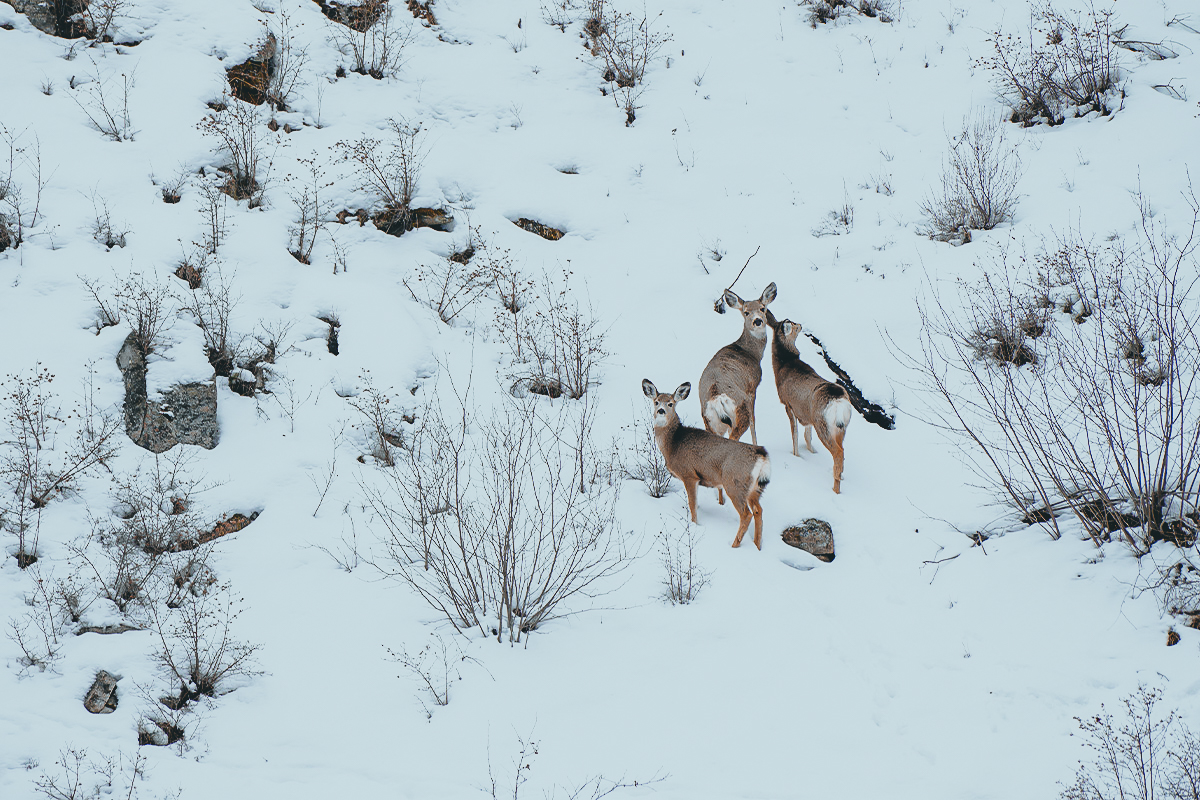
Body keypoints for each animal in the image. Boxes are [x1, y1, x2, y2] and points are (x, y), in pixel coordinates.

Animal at [643, 379, 772, 546]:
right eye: (656, 402)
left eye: (671, 403)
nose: (660, 411)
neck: (673, 444)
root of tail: (761, 455)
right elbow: (695, 503)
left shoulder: (689, 475)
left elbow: (692, 505)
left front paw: (694, 525)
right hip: (754, 488)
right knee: (758, 511)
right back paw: (757, 545)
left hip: (734, 483)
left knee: (746, 514)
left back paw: (734, 545)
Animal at [768, 316, 854, 494]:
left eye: (792, 323)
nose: (800, 324)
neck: (782, 367)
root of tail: (839, 402)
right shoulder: (805, 414)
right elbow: (807, 435)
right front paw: (812, 452)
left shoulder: (788, 405)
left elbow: (794, 435)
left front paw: (796, 456)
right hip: (841, 427)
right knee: (842, 450)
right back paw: (840, 477)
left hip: (823, 425)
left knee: (838, 452)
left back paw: (835, 489)